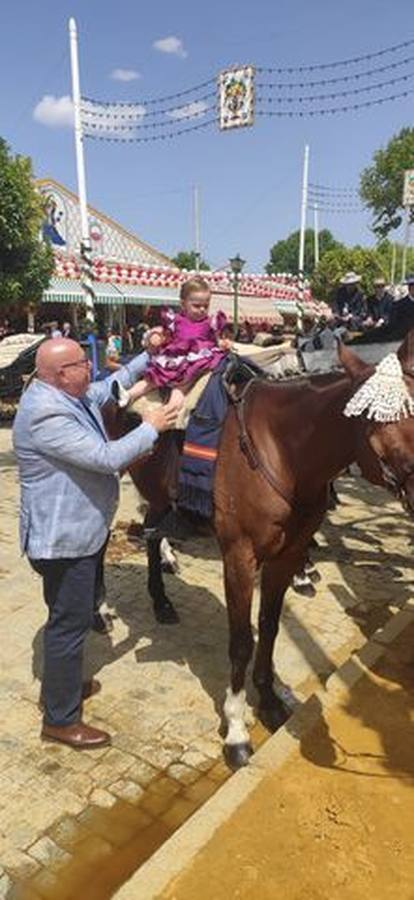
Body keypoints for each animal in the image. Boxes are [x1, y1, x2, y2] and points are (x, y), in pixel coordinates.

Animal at [104, 334, 414, 768]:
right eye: (380, 421)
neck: (284, 449)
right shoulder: (239, 557)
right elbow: (240, 642)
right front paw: (236, 728)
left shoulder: (287, 553)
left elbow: (268, 626)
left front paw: (268, 699)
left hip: (161, 496)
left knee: (151, 531)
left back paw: (161, 599)